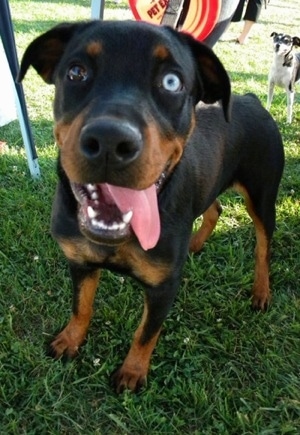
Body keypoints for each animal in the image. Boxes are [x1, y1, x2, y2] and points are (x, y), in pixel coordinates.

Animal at [18, 20, 284, 394]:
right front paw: (70, 341)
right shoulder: (80, 262)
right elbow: (81, 307)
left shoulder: (163, 287)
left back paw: (261, 291)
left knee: (263, 247)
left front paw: (132, 373)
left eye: (172, 81)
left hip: (262, 196)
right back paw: (195, 244)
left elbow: (146, 333)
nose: (110, 142)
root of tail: (252, 99)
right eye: (76, 72)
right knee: (214, 208)